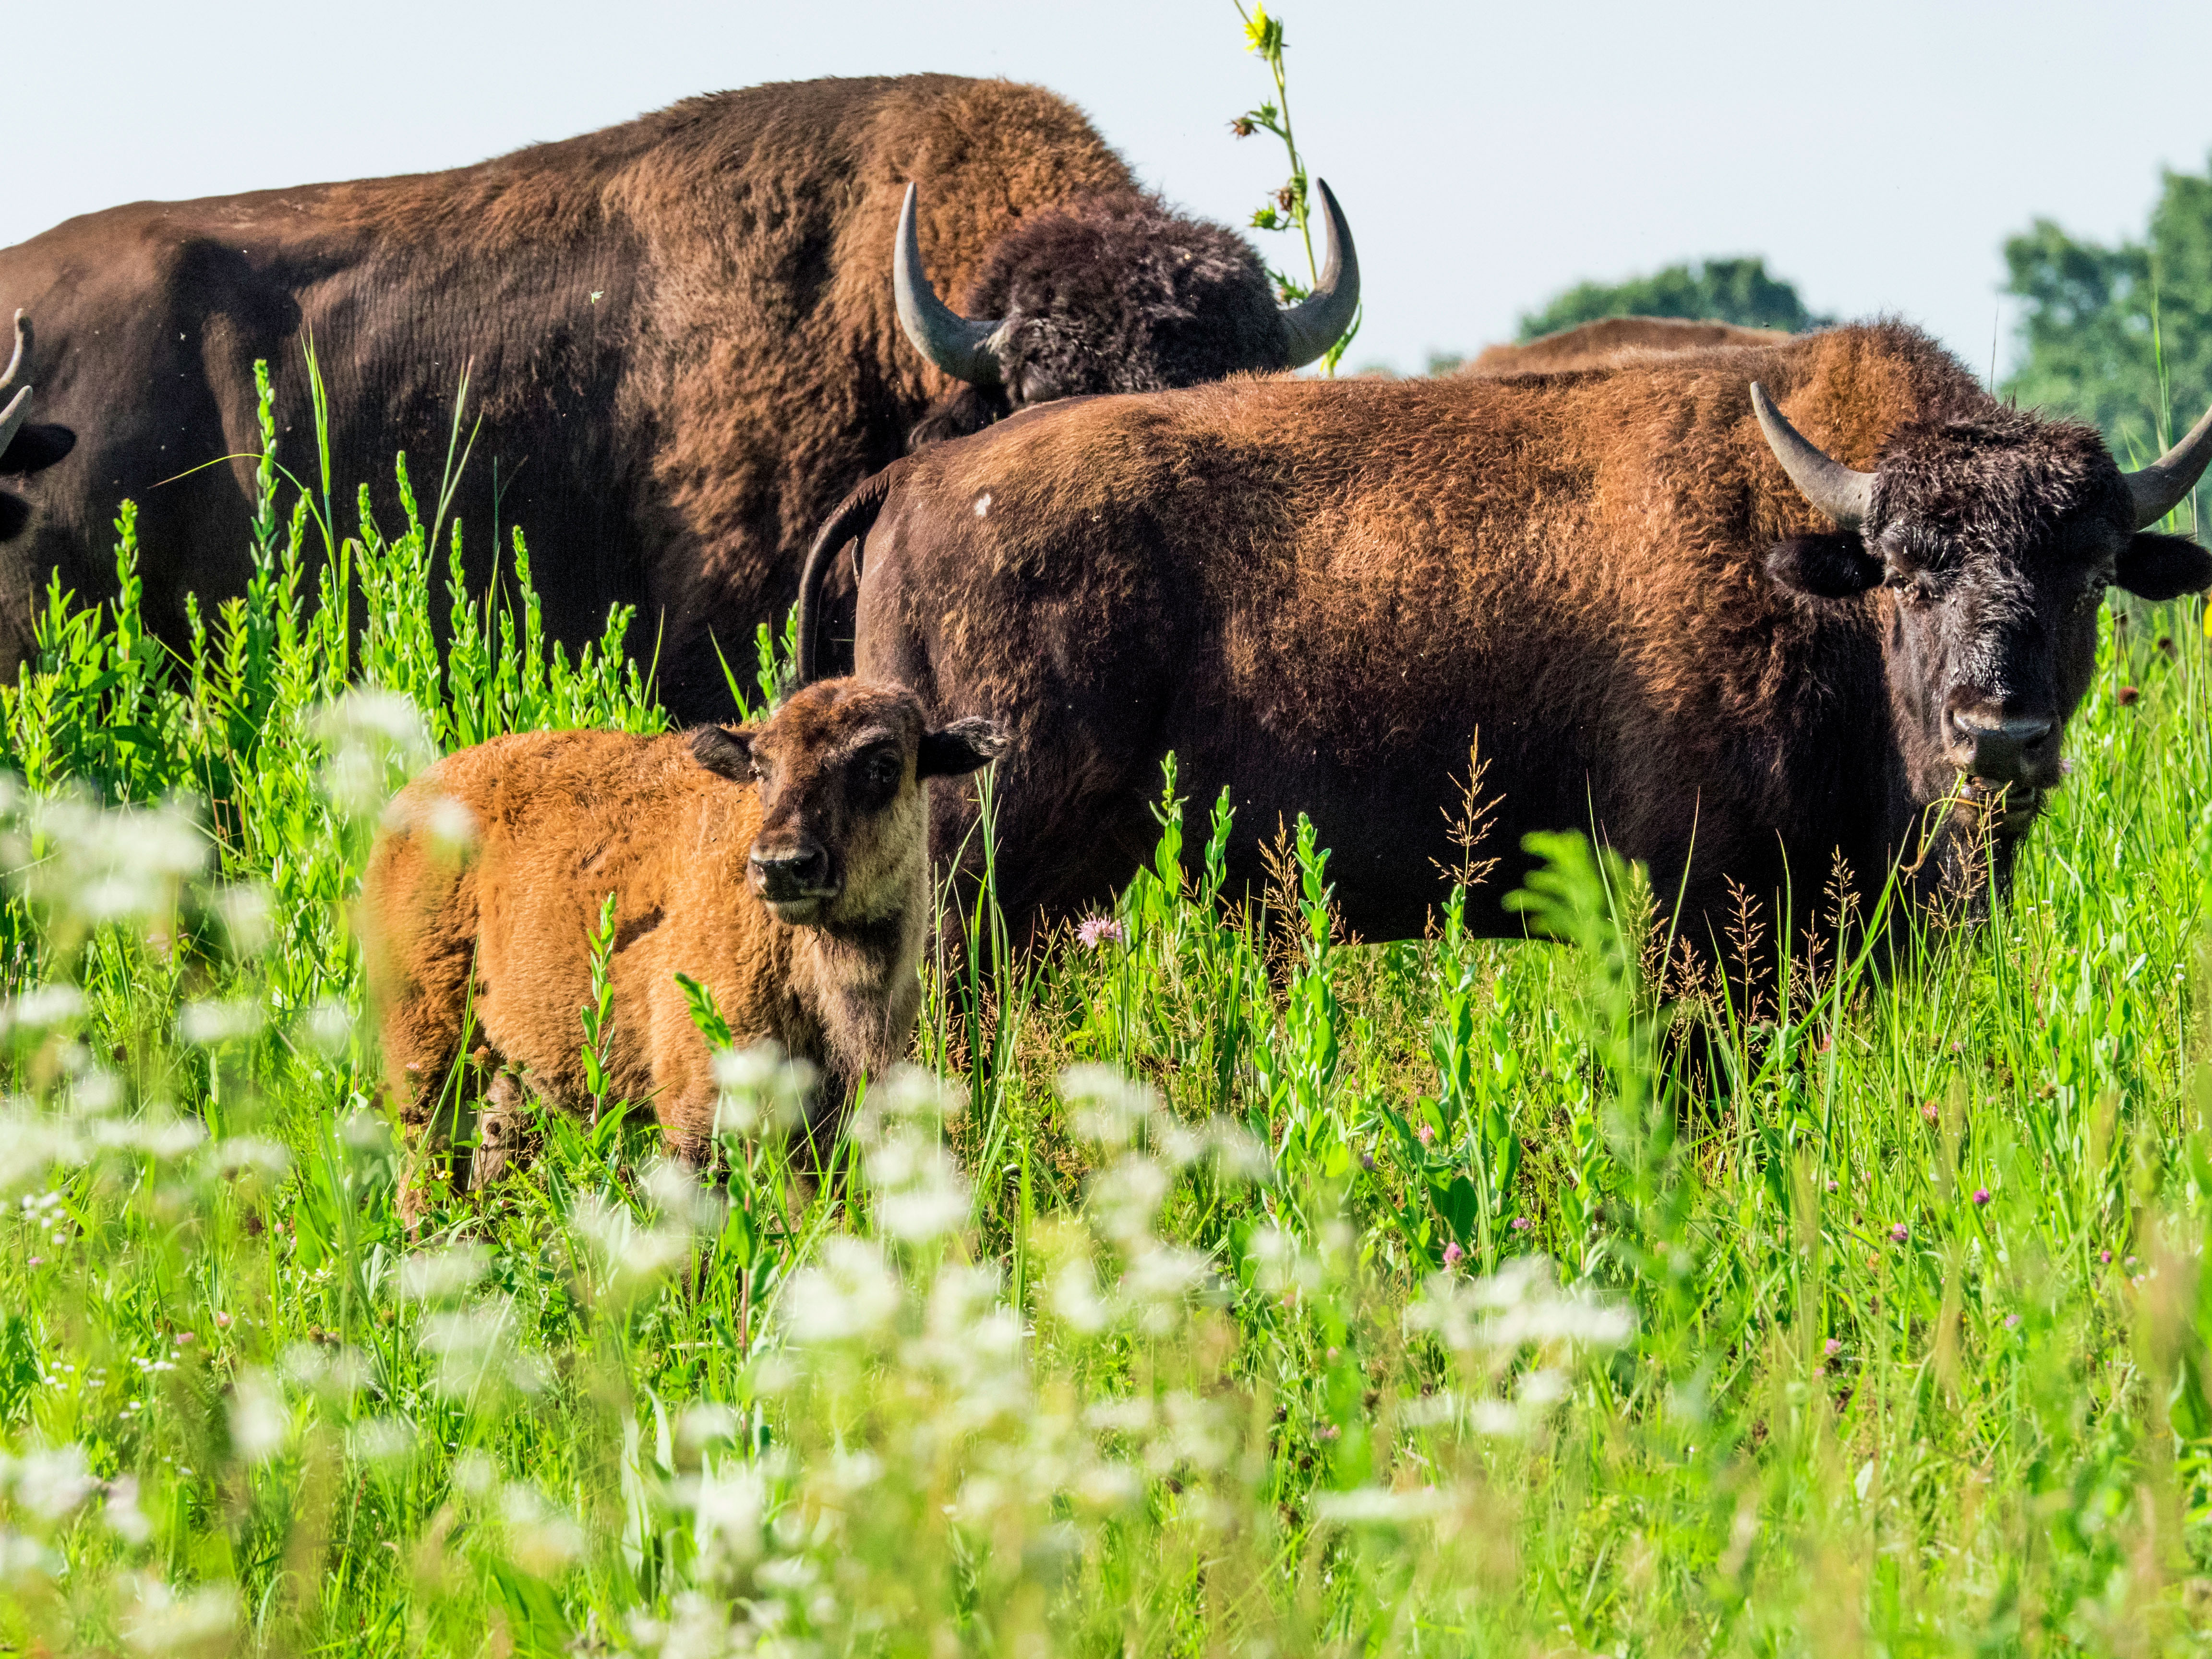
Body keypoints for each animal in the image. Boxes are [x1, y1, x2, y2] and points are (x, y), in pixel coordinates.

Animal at [365, 677, 1013, 1212]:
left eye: (883, 765)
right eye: (762, 770)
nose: (781, 866)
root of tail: (410, 803)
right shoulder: (698, 1112)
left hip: (506, 1073)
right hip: (429, 1057)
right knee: (423, 1168)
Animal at [809, 321, 2212, 960]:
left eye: (2092, 571)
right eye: (1907, 576)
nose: (2001, 729)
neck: (1812, 560)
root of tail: (919, 482)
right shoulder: (1696, 909)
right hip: (980, 881)